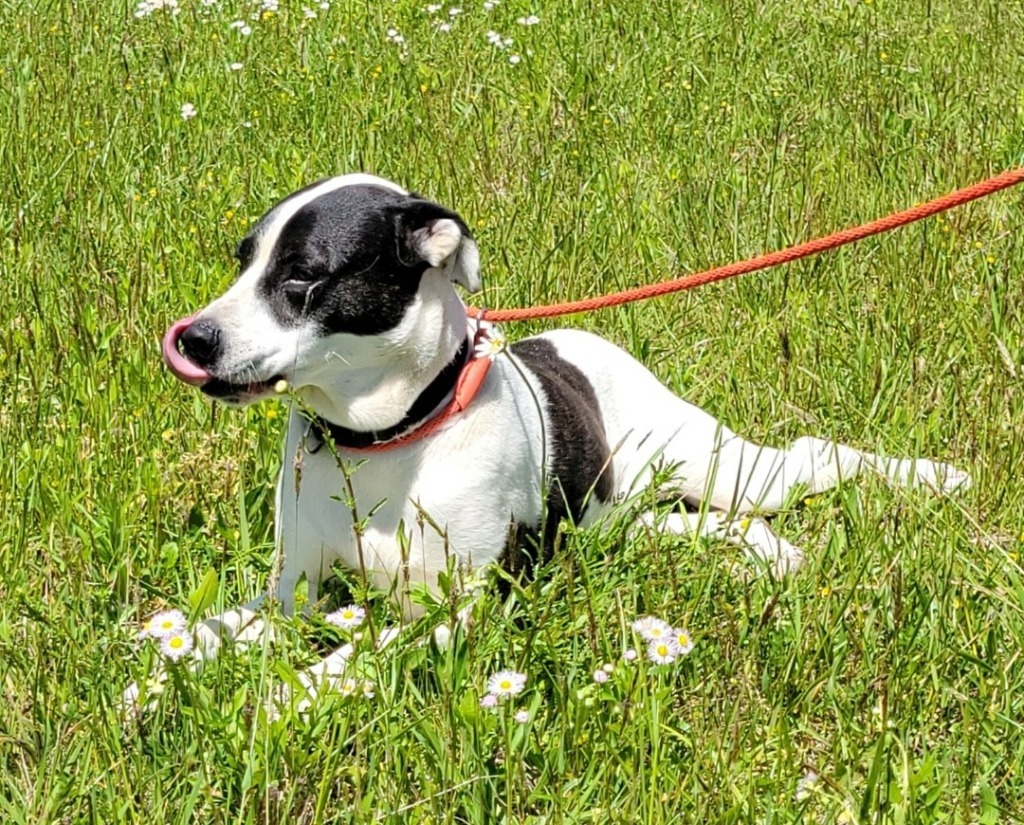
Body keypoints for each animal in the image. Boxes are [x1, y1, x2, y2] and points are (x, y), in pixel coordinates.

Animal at [134, 172, 966, 712]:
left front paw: (282, 694)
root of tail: (587, 340)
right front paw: (156, 676)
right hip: (621, 517)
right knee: (697, 523)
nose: (194, 339)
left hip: (725, 465)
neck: (384, 442)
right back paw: (770, 553)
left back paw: (934, 476)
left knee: (812, 454)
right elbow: (219, 629)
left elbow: (355, 653)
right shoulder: (294, 596)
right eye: (243, 261)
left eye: (303, 278)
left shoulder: (457, 611)